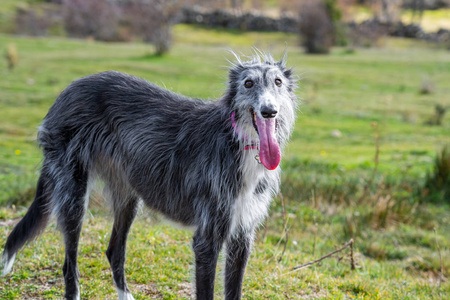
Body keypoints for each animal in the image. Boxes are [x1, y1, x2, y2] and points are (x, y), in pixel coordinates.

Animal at [2, 52, 298, 300]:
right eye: (248, 83)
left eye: (278, 82)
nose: (269, 111)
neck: (237, 141)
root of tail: (67, 90)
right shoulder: (207, 239)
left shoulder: (241, 237)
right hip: (73, 192)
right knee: (69, 263)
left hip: (127, 195)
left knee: (114, 251)